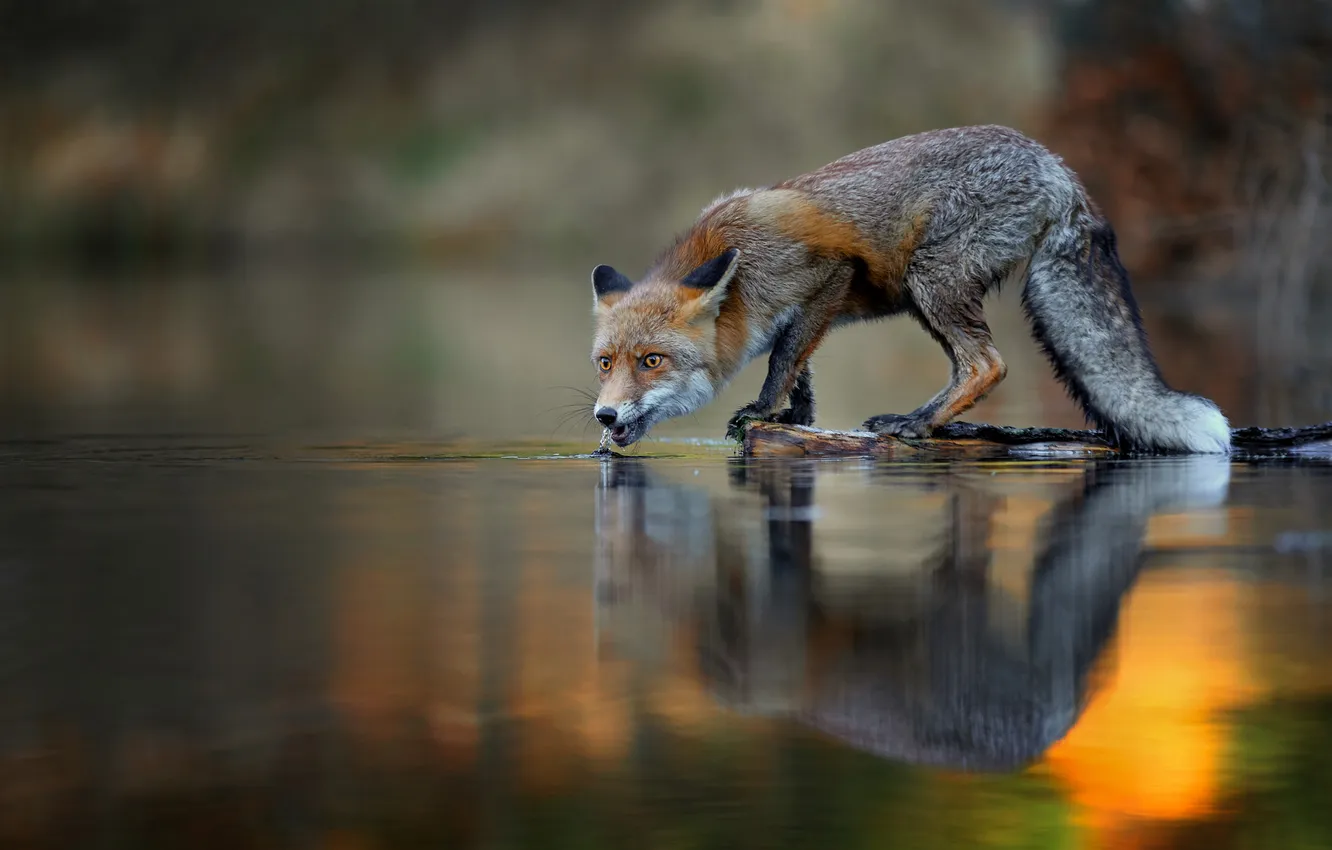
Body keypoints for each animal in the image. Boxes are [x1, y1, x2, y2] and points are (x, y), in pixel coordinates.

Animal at [588, 125, 1231, 454]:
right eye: (605, 363)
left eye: (652, 361)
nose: (603, 414)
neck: (739, 264)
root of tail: (1059, 168)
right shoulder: (799, 311)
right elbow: (799, 366)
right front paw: (797, 415)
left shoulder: (828, 276)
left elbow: (782, 360)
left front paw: (764, 411)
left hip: (929, 281)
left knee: (987, 365)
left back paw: (918, 424)